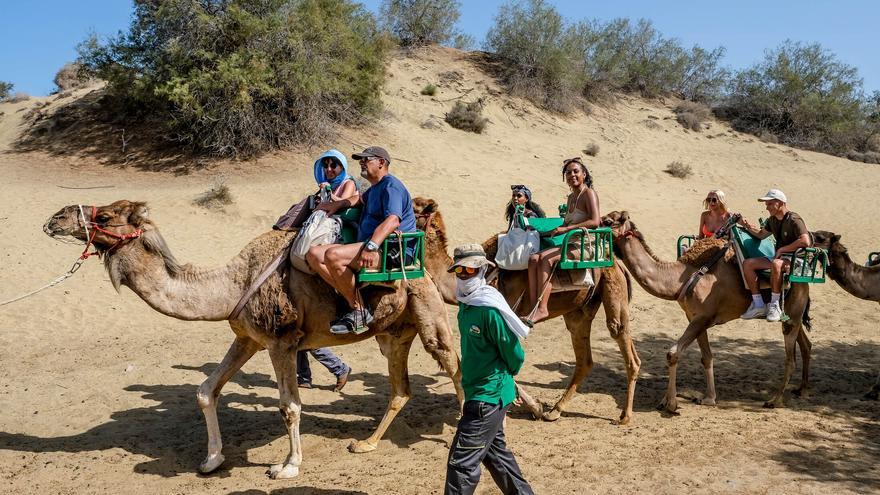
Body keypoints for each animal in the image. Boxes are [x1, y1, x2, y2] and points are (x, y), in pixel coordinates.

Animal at [44, 201, 464, 480]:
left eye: (104, 217)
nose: (53, 219)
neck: (234, 284)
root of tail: (424, 265)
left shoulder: (282, 342)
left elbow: (289, 407)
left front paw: (288, 466)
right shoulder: (247, 338)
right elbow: (205, 390)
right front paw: (211, 460)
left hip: (427, 314)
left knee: (453, 362)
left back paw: (461, 423)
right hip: (393, 333)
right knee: (401, 389)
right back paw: (366, 443)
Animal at [412, 198, 640, 426]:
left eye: (415, 208)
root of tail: (617, 264)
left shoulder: (506, 313)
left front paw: (530, 408)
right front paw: (535, 408)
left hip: (613, 289)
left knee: (624, 342)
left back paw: (625, 416)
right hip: (578, 311)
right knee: (584, 360)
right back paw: (555, 411)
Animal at [600, 211, 816, 412]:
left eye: (608, 221)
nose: (595, 227)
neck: (681, 277)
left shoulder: (703, 316)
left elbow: (673, 353)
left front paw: (671, 403)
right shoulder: (695, 317)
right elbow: (706, 357)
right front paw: (708, 397)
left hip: (792, 314)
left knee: (790, 359)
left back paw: (774, 400)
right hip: (791, 315)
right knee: (805, 344)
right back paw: (803, 390)